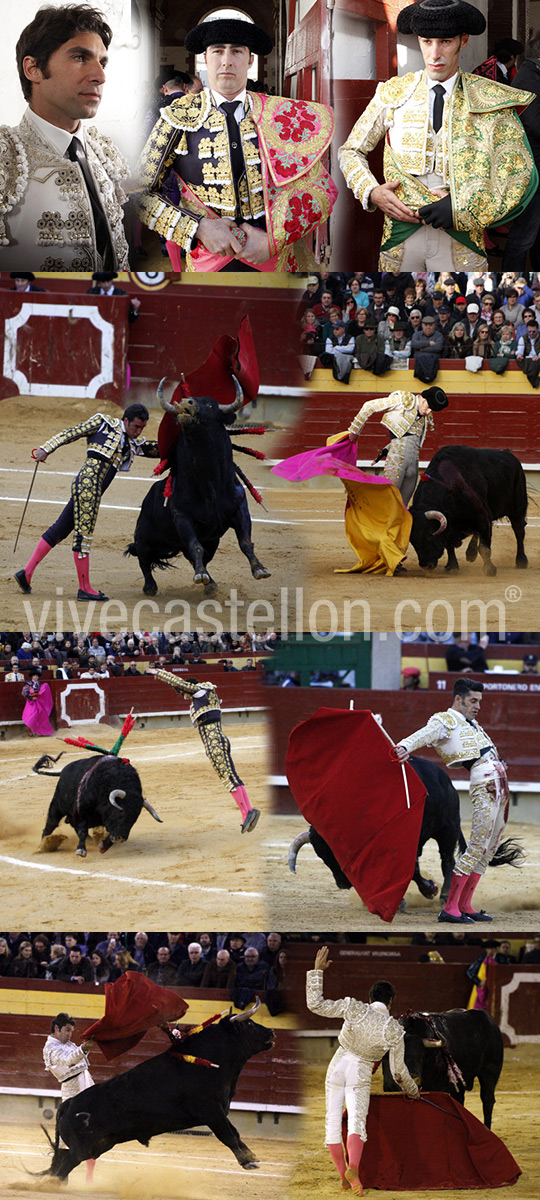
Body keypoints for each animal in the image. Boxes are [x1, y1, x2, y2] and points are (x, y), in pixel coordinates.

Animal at [34, 753, 162, 859]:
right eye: (121, 812)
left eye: (135, 818)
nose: (122, 838)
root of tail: (63, 771)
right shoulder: (82, 812)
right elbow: (82, 830)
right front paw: (81, 850)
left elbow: (109, 834)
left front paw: (102, 846)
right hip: (56, 806)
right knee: (50, 824)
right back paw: (42, 846)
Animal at [42, 1003, 274, 1180]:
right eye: (250, 1024)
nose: (271, 1032)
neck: (210, 1061)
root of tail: (68, 1104)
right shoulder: (211, 1111)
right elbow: (228, 1135)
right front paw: (247, 1161)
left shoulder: (219, 1111)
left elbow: (235, 1132)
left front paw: (252, 1157)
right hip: (83, 1148)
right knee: (64, 1166)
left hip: (100, 1144)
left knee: (61, 1163)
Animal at [125, 376, 270, 592]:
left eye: (210, 404)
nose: (186, 402)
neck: (210, 483)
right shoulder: (183, 518)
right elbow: (195, 546)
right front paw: (201, 576)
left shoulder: (240, 510)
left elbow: (245, 542)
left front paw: (259, 569)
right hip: (144, 538)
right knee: (144, 559)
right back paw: (150, 586)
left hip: (211, 541)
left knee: (194, 557)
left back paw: (211, 584)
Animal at [291, 753, 463, 902]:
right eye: (321, 856)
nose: (342, 883)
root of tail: (445, 777)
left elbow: (410, 870)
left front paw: (429, 889)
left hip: (448, 829)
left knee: (447, 860)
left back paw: (445, 895)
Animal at [410, 446, 528, 576]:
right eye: (412, 541)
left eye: (429, 537)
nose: (426, 565)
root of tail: (508, 453)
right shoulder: (450, 527)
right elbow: (449, 545)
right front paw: (452, 567)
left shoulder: (482, 518)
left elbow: (484, 548)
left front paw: (489, 569)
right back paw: (471, 553)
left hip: (518, 507)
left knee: (519, 530)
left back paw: (521, 561)